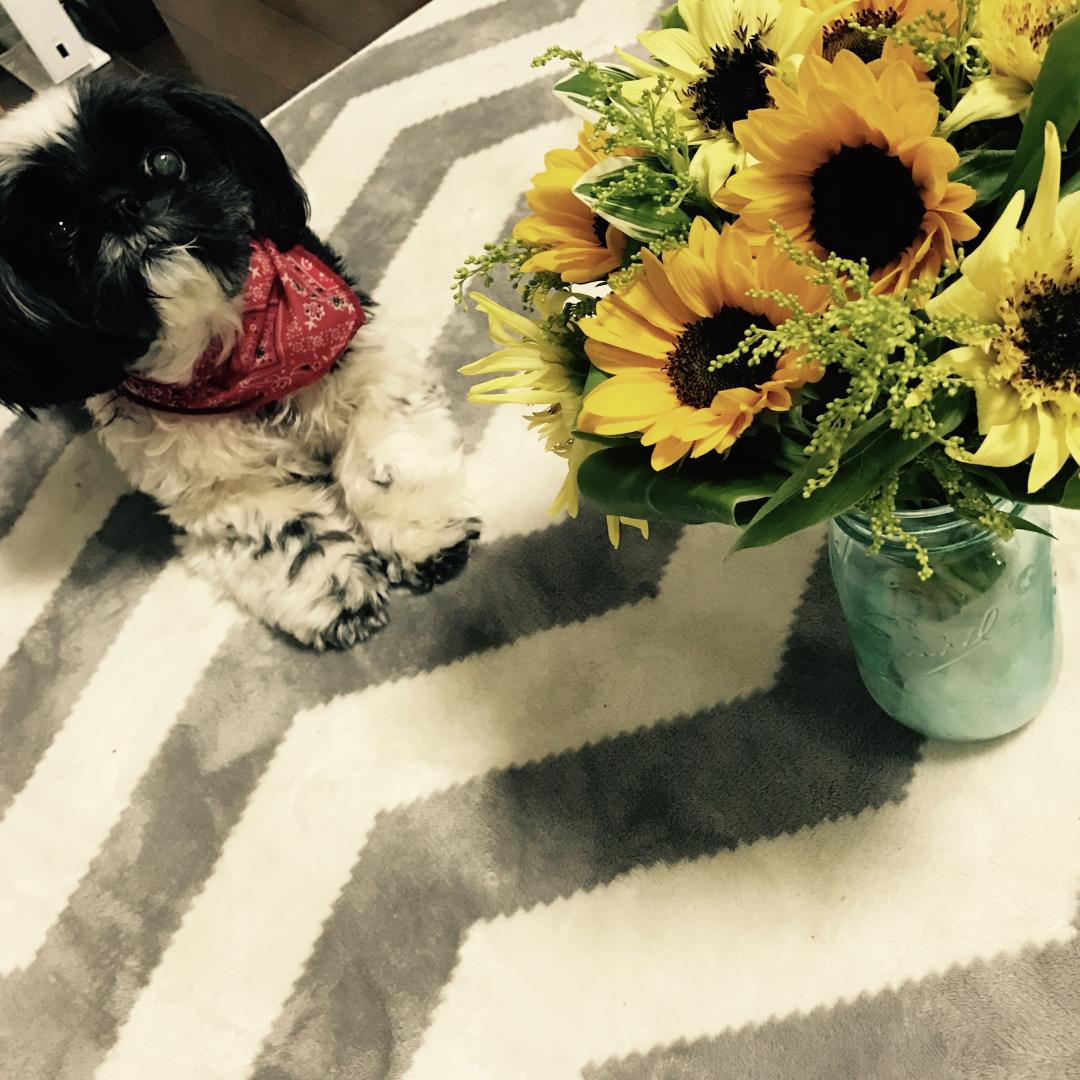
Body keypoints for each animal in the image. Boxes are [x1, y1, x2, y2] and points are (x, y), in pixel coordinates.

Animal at [0, 73, 477, 649]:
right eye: (60, 229)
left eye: (165, 161)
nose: (122, 205)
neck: (233, 361)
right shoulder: (216, 491)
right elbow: (281, 530)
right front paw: (336, 592)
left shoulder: (365, 364)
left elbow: (384, 453)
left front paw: (419, 535)